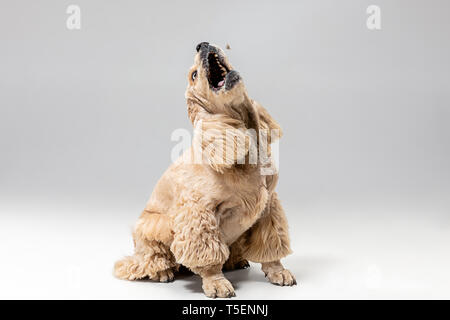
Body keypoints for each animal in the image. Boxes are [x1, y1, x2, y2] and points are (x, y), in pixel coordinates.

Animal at [114, 42, 296, 298]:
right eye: (193, 75)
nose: (202, 44)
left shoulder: (269, 206)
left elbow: (272, 243)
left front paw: (278, 271)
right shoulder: (199, 211)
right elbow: (208, 254)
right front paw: (216, 283)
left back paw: (235, 261)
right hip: (154, 225)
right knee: (146, 260)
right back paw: (162, 271)